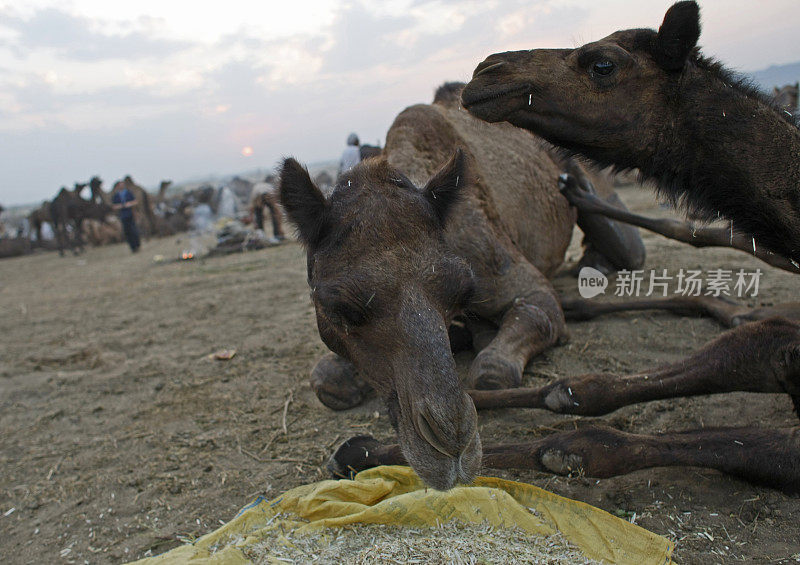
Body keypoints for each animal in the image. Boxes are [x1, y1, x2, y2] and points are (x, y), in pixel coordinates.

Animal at [280, 82, 644, 490]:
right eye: (340, 308)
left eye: (461, 289)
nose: (451, 444)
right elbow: (327, 381)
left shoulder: (522, 284)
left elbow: (494, 370)